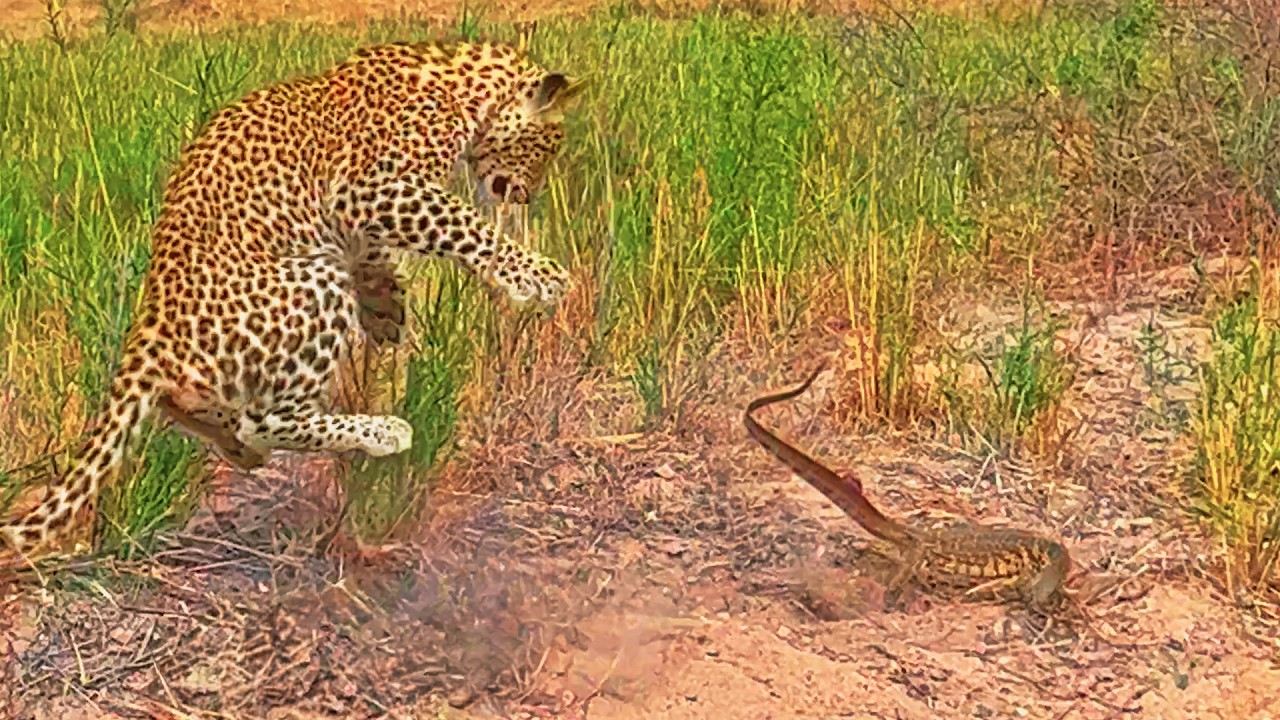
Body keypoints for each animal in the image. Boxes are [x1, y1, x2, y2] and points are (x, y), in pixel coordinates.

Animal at [0, 39, 587, 568]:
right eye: (547, 146)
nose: (527, 196)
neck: (461, 86)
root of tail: (152, 326)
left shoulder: (364, 218)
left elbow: (379, 260)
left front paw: (389, 310)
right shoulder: (372, 188)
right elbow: (464, 226)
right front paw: (536, 277)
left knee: (209, 413)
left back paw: (239, 446)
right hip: (316, 280)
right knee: (268, 419)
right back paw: (380, 432)